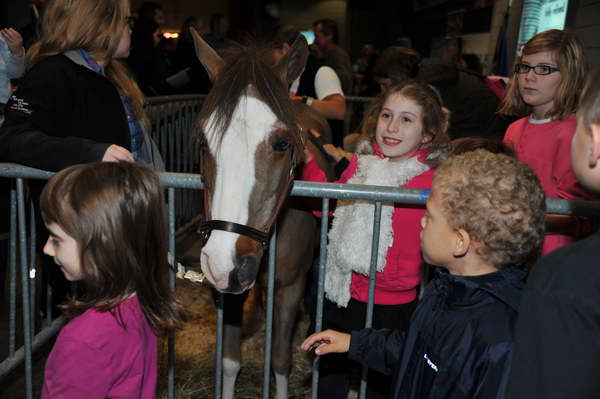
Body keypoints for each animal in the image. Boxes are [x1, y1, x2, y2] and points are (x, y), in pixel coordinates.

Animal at [190, 28, 336, 399]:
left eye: (283, 144)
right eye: (203, 142)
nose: (224, 262)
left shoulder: (291, 287)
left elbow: (281, 361)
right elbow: (230, 362)